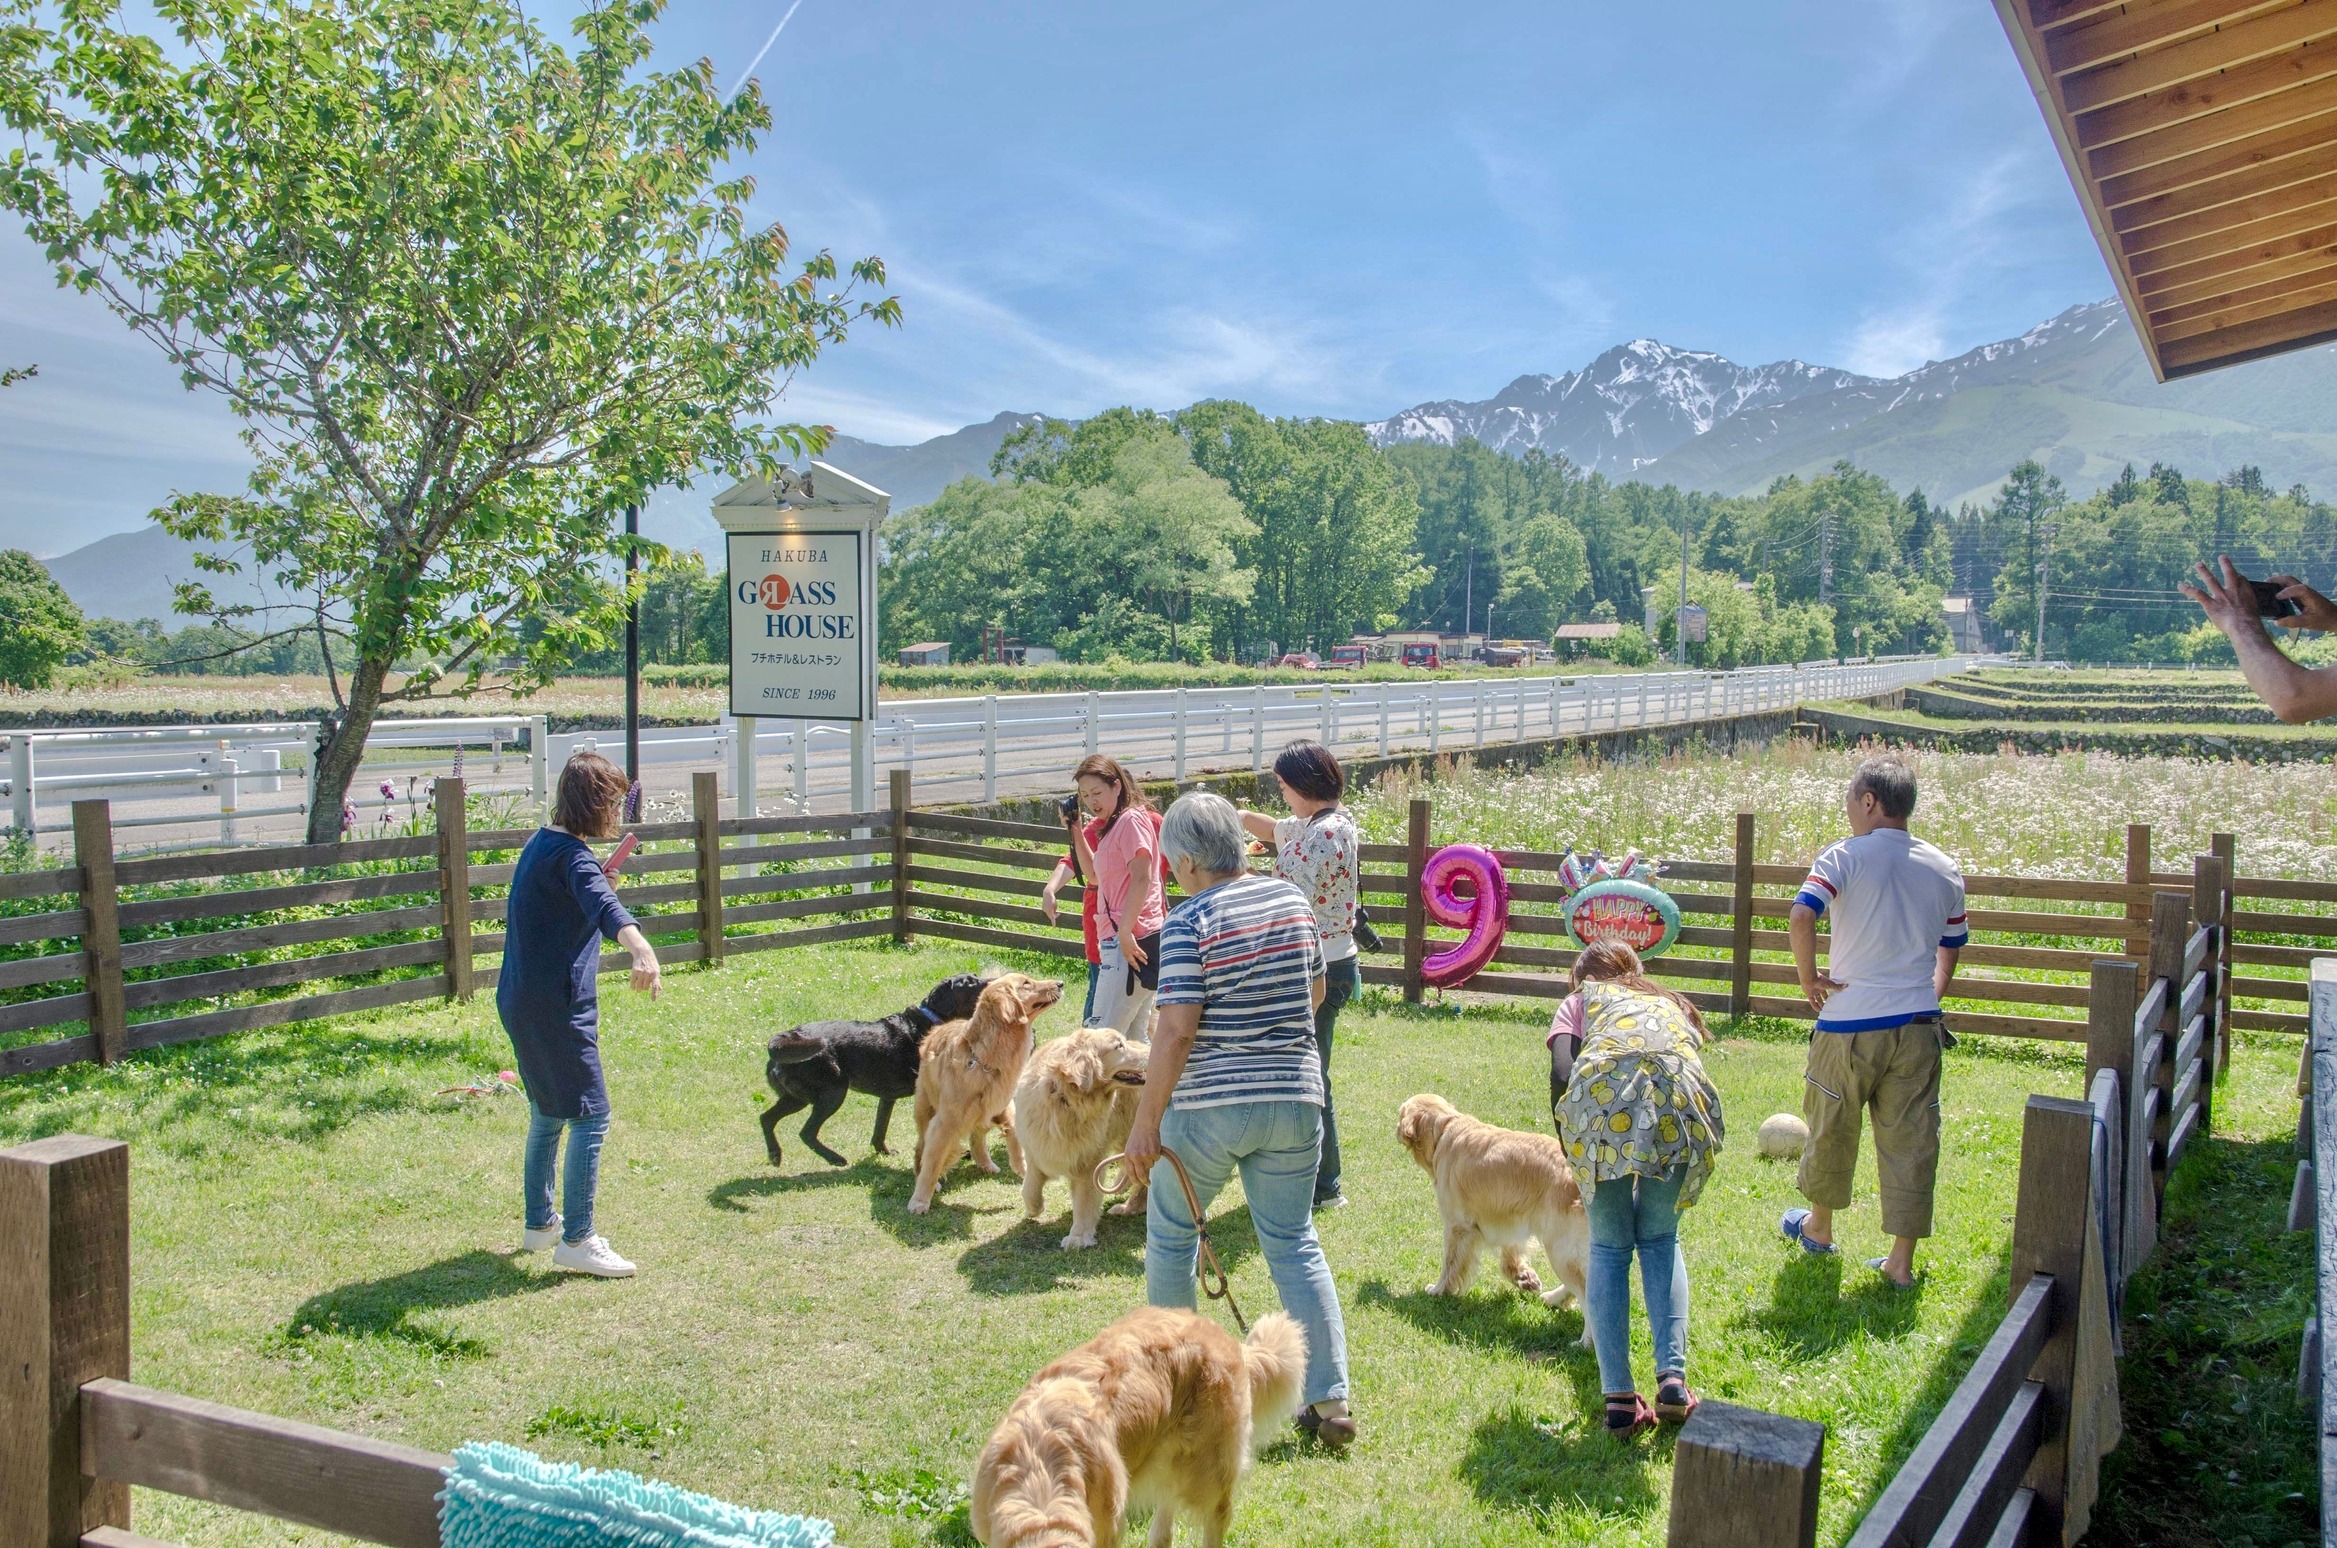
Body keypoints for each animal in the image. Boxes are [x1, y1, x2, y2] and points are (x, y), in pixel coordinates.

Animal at [761, 977, 990, 1169]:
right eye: (970, 982)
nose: (991, 980)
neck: (931, 1020)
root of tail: (778, 1041)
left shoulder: (887, 1097)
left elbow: (880, 1127)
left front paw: (883, 1152)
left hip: (796, 1098)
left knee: (766, 1118)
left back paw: (775, 1154)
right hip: (832, 1093)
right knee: (806, 1132)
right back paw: (835, 1159)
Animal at [906, 977, 1065, 1215]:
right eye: (1026, 983)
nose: (1061, 983)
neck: (986, 1059)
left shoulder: (1003, 1105)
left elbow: (1014, 1138)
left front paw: (1022, 1168)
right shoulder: (944, 1123)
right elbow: (932, 1163)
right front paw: (920, 1201)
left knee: (977, 1137)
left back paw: (986, 1164)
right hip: (927, 1111)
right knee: (921, 1148)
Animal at [962, 1309, 1308, 1548]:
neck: (1038, 1471)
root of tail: (1228, 1340)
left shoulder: (1108, 1527)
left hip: (1207, 1471)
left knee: (1215, 1516)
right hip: (1167, 1457)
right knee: (1165, 1517)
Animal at [1014, 1028, 1149, 1253]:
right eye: (1119, 1046)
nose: (1152, 1052)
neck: (1066, 1102)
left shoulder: (1089, 1162)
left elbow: (1085, 1203)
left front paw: (1078, 1237)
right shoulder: (1037, 1151)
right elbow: (1029, 1189)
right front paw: (1034, 1209)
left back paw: (1129, 1207)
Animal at [1392, 1099, 1598, 1337]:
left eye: (1401, 1113)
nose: (1395, 1129)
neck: (1444, 1128)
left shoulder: (1457, 1225)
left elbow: (1450, 1263)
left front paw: (1439, 1290)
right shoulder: (1509, 1219)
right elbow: (1510, 1256)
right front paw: (1524, 1278)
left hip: (1560, 1247)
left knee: (1588, 1293)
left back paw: (1586, 1339)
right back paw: (1554, 1299)